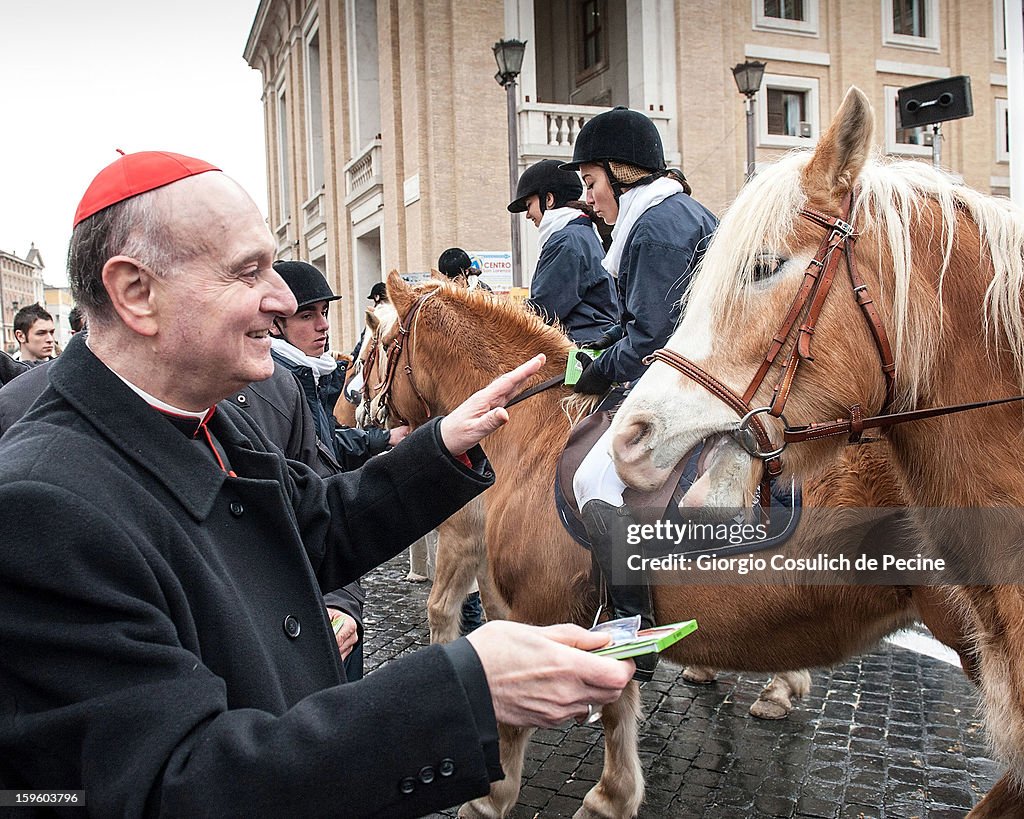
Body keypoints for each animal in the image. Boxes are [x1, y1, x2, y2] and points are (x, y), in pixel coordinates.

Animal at [376, 272, 974, 818]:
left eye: (377, 346)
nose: (369, 413)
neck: (534, 432)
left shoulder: (526, 609)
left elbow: (516, 706)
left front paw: (494, 798)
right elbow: (617, 699)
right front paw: (615, 795)